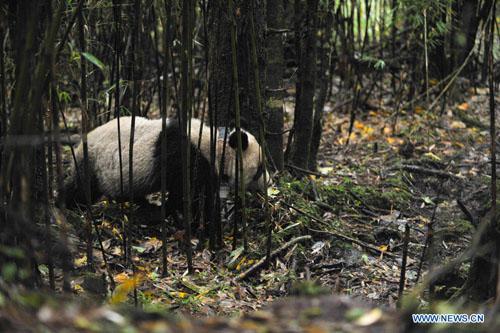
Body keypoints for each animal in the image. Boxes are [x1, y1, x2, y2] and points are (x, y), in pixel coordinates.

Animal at [63, 116, 270, 223]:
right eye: (259, 169)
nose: (269, 181)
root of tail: (81, 141)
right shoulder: (183, 158)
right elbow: (187, 194)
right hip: (92, 162)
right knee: (80, 188)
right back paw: (66, 205)